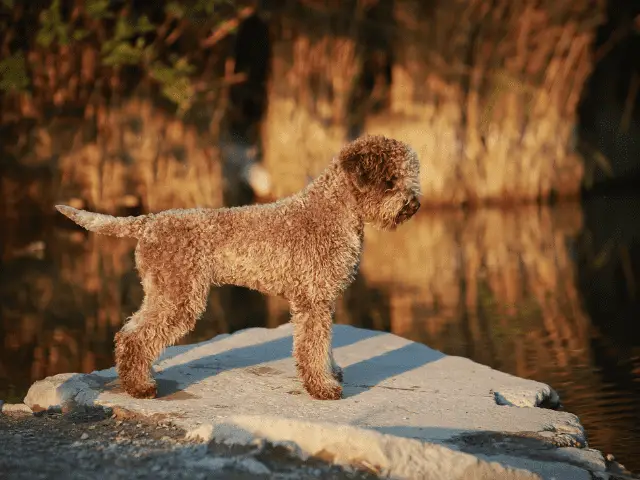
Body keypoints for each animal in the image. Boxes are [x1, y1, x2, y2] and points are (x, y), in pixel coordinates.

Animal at [55, 135, 422, 402]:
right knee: (134, 337)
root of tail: (147, 222)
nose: (414, 205)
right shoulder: (313, 300)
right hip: (178, 297)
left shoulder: (322, 300)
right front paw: (323, 387)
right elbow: (312, 347)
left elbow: (324, 343)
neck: (335, 212)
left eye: (409, 177)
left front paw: (331, 373)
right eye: (390, 181)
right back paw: (140, 387)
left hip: (164, 293)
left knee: (129, 333)